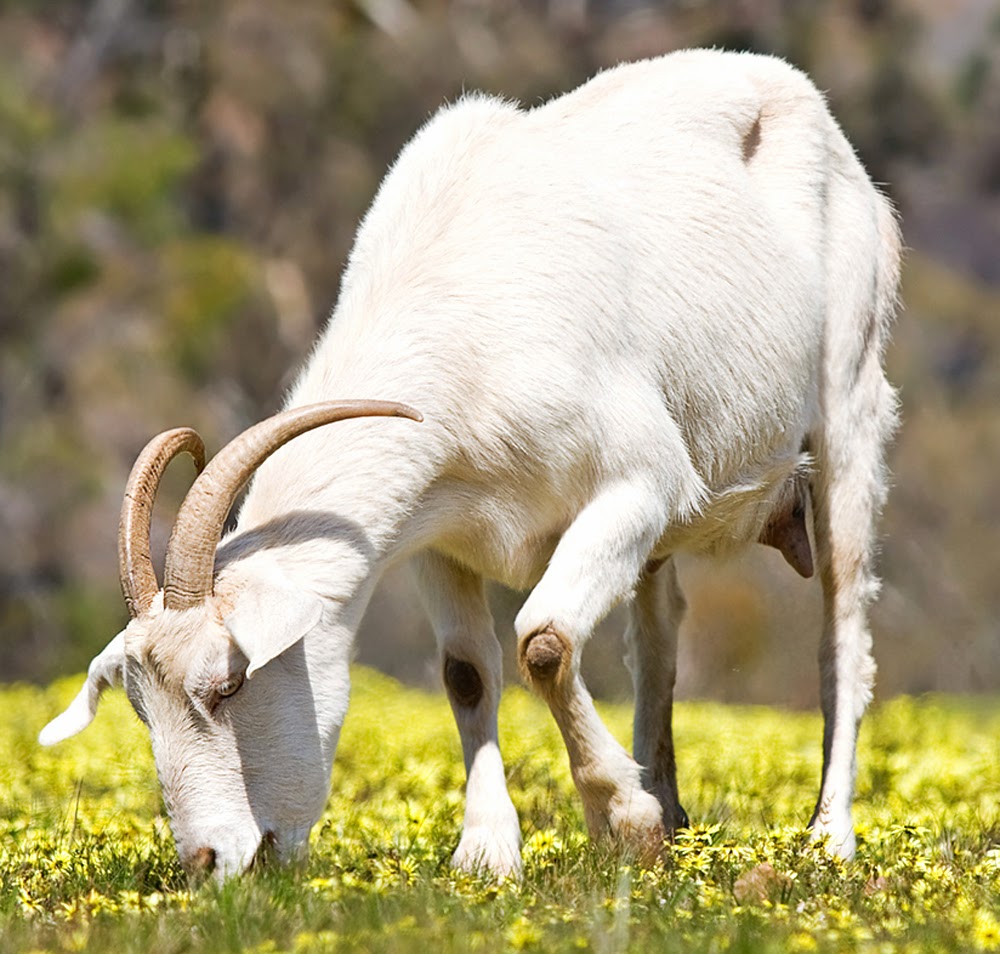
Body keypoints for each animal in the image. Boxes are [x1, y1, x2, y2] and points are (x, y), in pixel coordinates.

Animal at [40, 49, 900, 881]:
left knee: (842, 632)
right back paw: (674, 809)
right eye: (140, 707)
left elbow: (544, 641)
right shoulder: (433, 533)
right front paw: (490, 852)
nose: (208, 861)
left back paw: (829, 837)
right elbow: (467, 671)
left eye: (225, 686)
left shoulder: (639, 482)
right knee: (657, 641)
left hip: (849, 403)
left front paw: (622, 822)